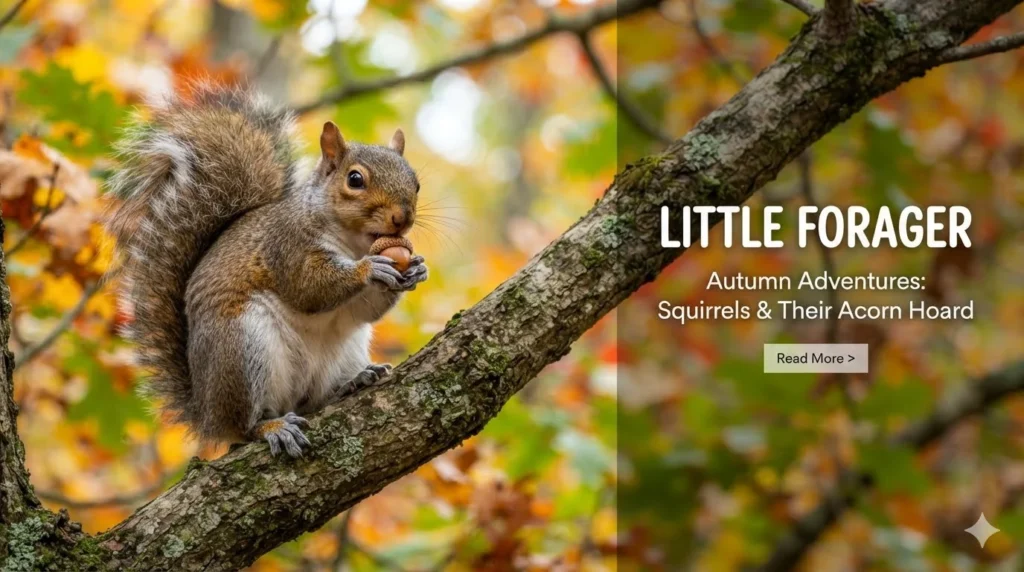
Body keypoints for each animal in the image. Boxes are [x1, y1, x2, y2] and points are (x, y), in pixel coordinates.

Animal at [106, 85, 427, 457]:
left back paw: (352, 381)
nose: (402, 218)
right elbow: (309, 288)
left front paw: (416, 270)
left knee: (313, 401)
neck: (353, 243)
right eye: (355, 179)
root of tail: (206, 413)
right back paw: (272, 427)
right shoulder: (285, 246)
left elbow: (365, 310)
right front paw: (369, 269)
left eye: (416, 183)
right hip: (242, 348)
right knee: (244, 426)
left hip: (345, 350)